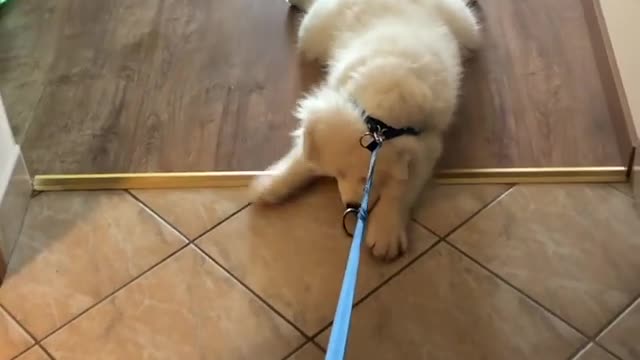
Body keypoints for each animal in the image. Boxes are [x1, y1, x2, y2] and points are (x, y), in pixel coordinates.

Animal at [250, 0, 480, 260]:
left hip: (466, 25)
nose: (352, 206)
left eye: (368, 179)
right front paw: (271, 184)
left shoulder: (427, 145)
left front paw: (386, 232)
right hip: (312, 28)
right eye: (337, 174)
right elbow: (303, 157)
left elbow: (400, 189)